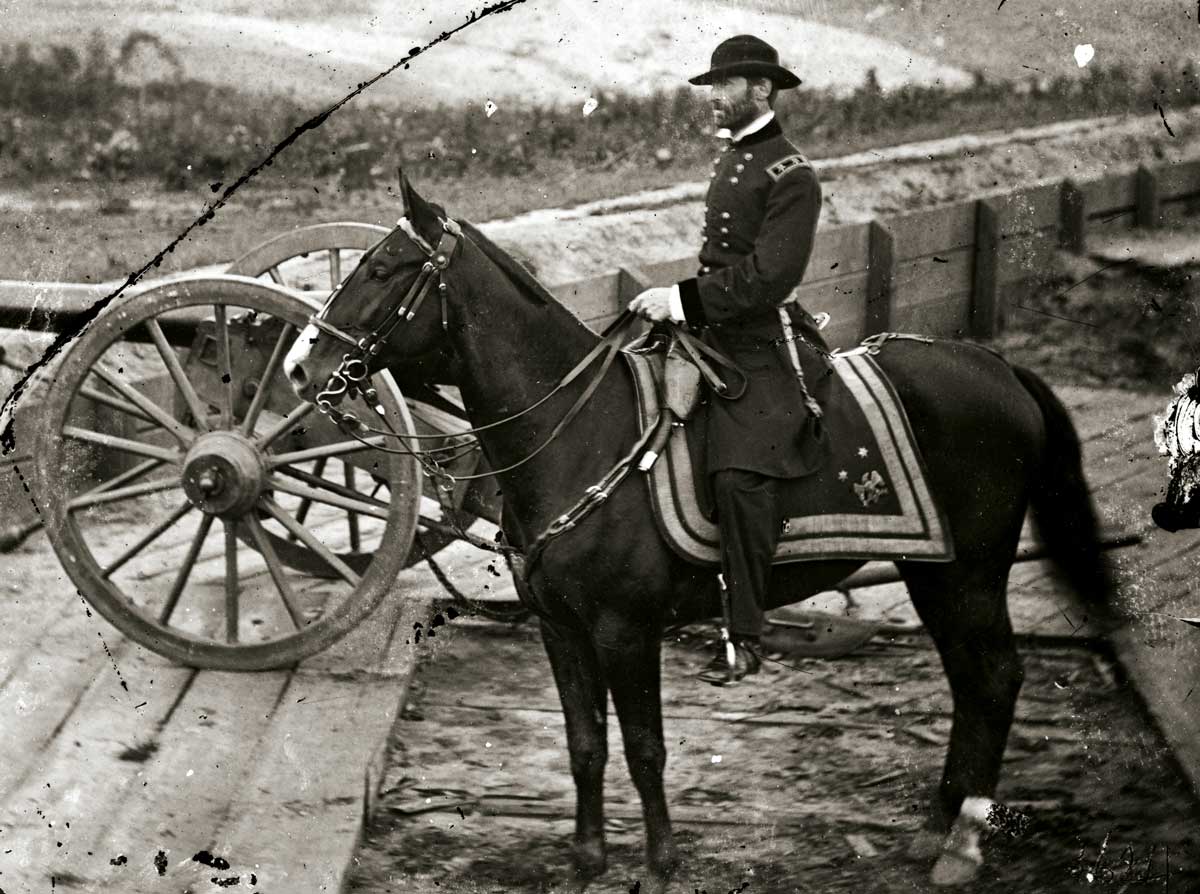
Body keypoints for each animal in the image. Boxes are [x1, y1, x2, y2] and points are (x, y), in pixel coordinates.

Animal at [285, 177, 1108, 888]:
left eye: (380, 268)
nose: (299, 365)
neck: (581, 432)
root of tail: (997, 366)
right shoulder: (559, 626)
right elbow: (585, 744)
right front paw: (587, 860)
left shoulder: (624, 628)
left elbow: (644, 748)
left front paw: (658, 864)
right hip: (935, 572)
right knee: (970, 683)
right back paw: (937, 829)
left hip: (971, 573)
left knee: (995, 679)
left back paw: (962, 844)